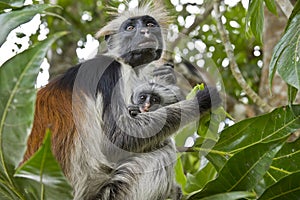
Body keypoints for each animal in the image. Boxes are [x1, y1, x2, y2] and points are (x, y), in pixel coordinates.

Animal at [22, 0, 220, 199]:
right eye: (130, 27)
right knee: (163, 151)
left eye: (149, 24)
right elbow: (118, 139)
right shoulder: (109, 71)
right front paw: (202, 100)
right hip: (113, 193)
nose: (145, 32)